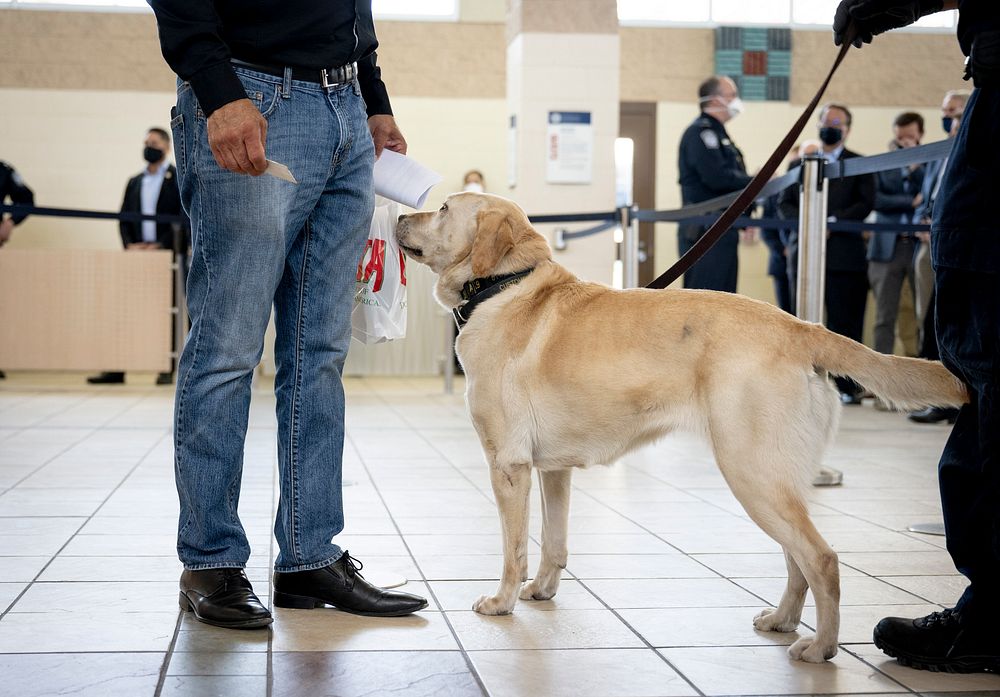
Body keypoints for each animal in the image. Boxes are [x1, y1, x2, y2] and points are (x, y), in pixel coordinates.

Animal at [396, 192, 968, 664]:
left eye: (443, 208)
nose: (398, 217)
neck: (503, 287)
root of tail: (800, 326)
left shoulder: (508, 465)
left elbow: (513, 549)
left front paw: (502, 601)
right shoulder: (554, 470)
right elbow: (553, 542)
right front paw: (542, 590)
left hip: (750, 472)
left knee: (821, 559)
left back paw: (820, 647)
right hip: (773, 479)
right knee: (797, 560)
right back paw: (783, 620)